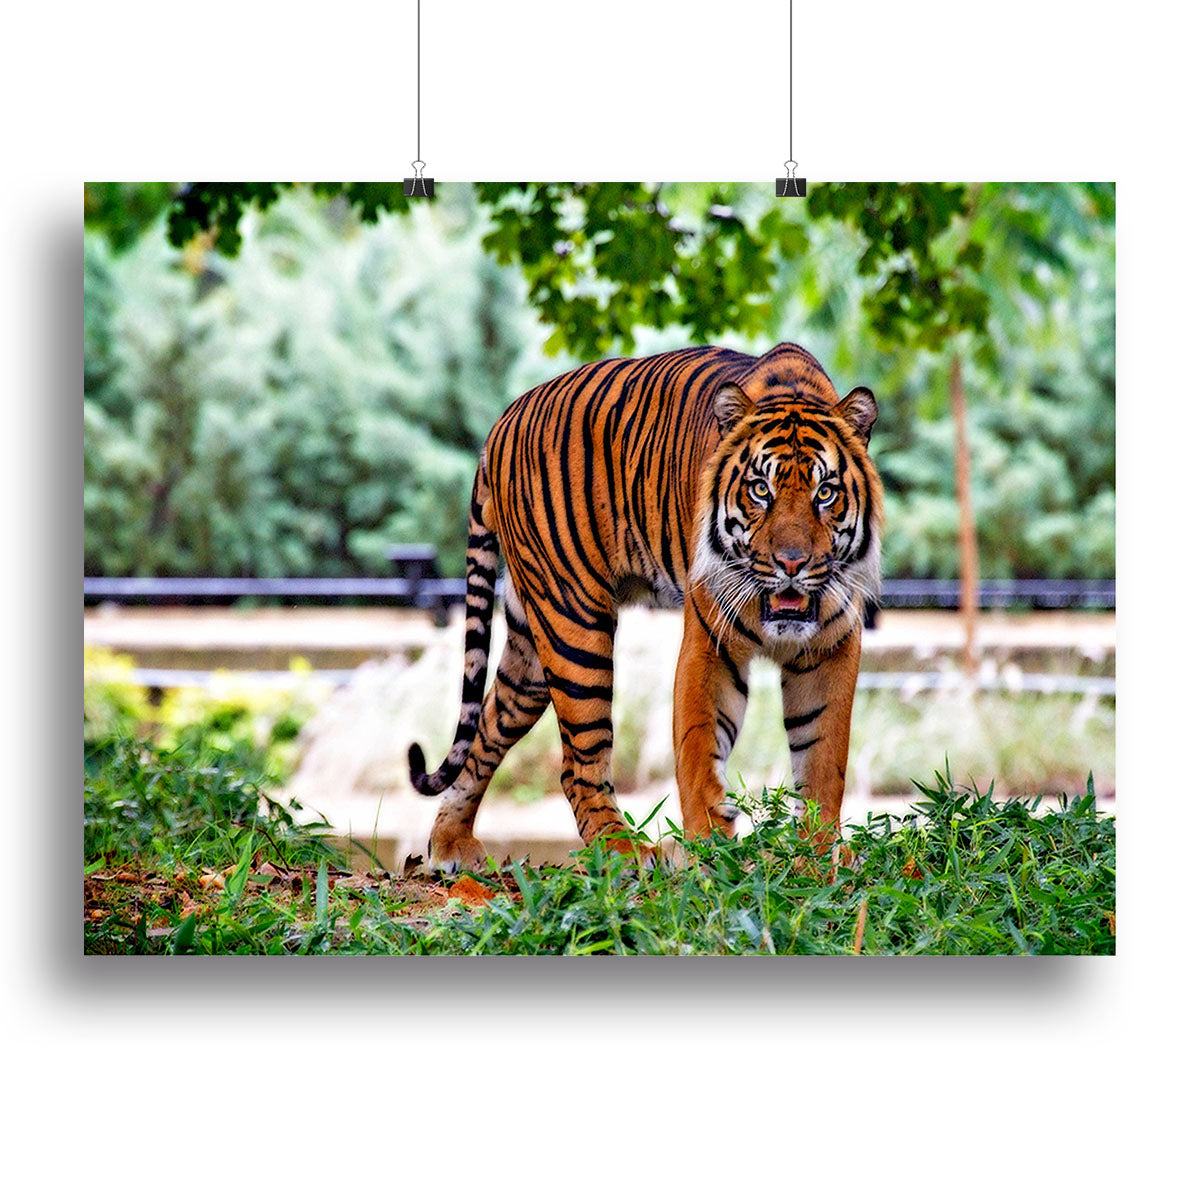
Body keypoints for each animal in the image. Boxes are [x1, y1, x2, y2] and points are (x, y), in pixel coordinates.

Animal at [408, 342, 883, 870]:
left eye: (826, 492)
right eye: (761, 489)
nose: (792, 563)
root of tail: (502, 421)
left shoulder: (831, 648)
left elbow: (823, 759)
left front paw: (816, 857)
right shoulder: (710, 644)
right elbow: (699, 751)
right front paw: (711, 852)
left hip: (530, 646)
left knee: (487, 729)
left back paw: (450, 842)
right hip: (573, 624)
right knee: (579, 763)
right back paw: (625, 851)